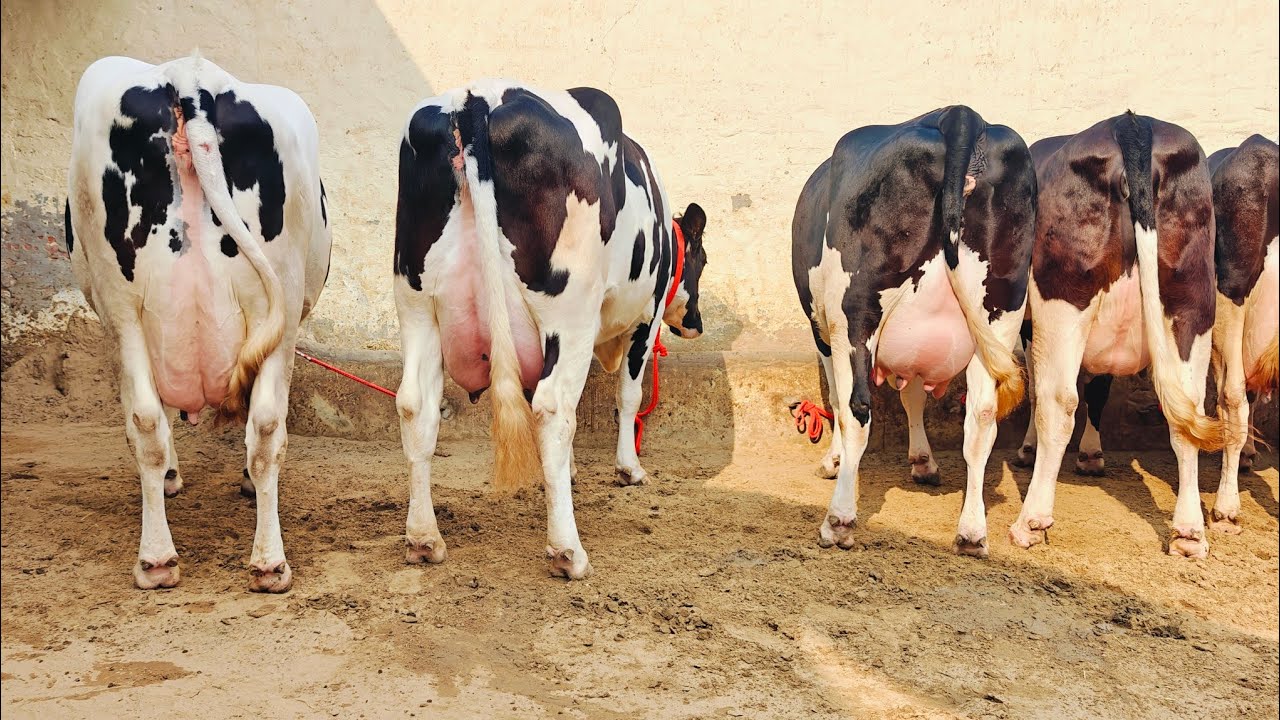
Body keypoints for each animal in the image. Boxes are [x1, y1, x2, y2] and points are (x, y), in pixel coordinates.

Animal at [66, 56, 331, 592]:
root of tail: (190, 76)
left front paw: (172, 477)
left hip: (122, 305)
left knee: (151, 419)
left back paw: (161, 557)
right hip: (278, 303)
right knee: (258, 423)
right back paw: (260, 563)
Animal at [392, 80, 708, 580]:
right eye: (704, 261)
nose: (696, 323)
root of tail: (477, 98)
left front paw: (572, 472)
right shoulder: (645, 317)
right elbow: (628, 397)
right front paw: (629, 469)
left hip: (417, 304)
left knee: (415, 406)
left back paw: (424, 539)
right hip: (569, 311)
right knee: (552, 408)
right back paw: (567, 551)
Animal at [792, 105, 1036, 557]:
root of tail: (959, 115)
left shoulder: (824, 331)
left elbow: (837, 398)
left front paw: (834, 461)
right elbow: (913, 396)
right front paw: (923, 460)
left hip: (856, 311)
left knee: (857, 409)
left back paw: (839, 521)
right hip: (1001, 311)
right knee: (982, 418)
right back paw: (971, 533)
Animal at [1011, 135, 1278, 535]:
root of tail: (1133, 128)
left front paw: (1052, 451)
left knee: (1059, 399)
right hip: (1195, 301)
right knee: (1197, 405)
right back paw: (1197, 525)